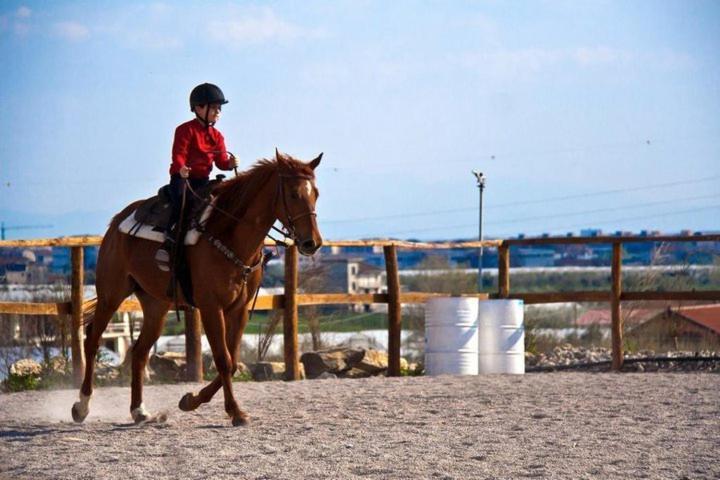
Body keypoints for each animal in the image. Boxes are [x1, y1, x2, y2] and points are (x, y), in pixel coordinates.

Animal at [71, 151, 324, 428]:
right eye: (293, 194)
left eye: (316, 193)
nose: (312, 243)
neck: (230, 237)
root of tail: (117, 222)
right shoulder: (211, 307)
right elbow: (223, 359)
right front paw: (235, 412)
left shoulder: (239, 309)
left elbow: (233, 360)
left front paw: (190, 400)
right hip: (111, 294)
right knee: (92, 340)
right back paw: (81, 406)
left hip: (156, 306)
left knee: (139, 351)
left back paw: (139, 411)